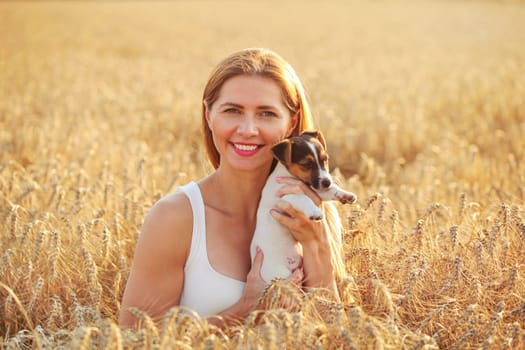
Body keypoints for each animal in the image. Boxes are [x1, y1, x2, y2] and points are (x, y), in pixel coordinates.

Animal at [250, 130, 356, 284]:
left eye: (325, 160)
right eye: (306, 164)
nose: (327, 182)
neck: (291, 176)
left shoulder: (315, 188)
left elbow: (330, 191)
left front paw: (345, 195)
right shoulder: (284, 197)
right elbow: (302, 198)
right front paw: (315, 212)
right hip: (280, 274)